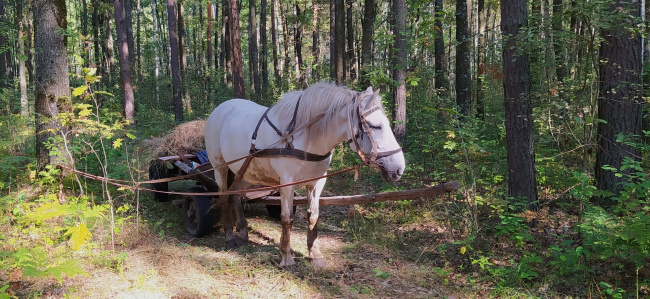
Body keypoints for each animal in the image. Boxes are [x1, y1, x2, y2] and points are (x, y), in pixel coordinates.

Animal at [205, 82, 402, 272]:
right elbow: (287, 219)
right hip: (220, 167)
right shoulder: (286, 183)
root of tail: (220, 108)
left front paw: (315, 254)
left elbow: (313, 216)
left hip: (243, 171)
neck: (305, 137)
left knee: (236, 197)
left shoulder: (317, 183)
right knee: (224, 197)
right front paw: (287, 259)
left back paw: (242, 232)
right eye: (376, 126)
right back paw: (230, 236)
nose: (399, 168)